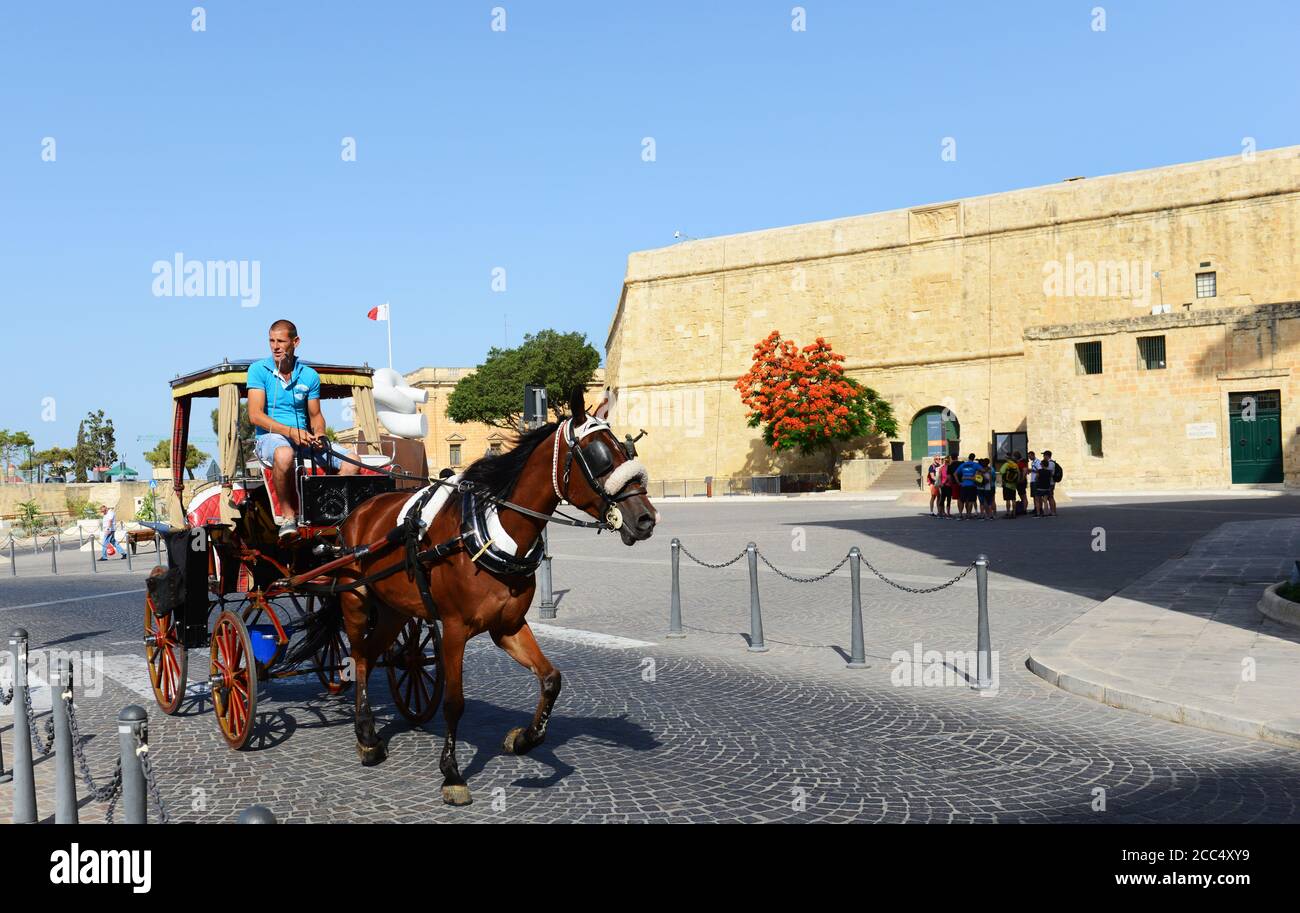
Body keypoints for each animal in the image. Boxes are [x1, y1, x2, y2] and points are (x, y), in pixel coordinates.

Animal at [296, 384, 660, 806]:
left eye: (626, 450)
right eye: (599, 455)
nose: (646, 519)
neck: (487, 532)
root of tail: (357, 511)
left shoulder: (508, 627)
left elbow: (551, 679)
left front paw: (524, 739)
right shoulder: (455, 630)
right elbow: (455, 703)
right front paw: (452, 773)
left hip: (393, 610)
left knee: (370, 657)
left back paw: (370, 733)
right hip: (356, 601)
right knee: (356, 658)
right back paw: (367, 736)